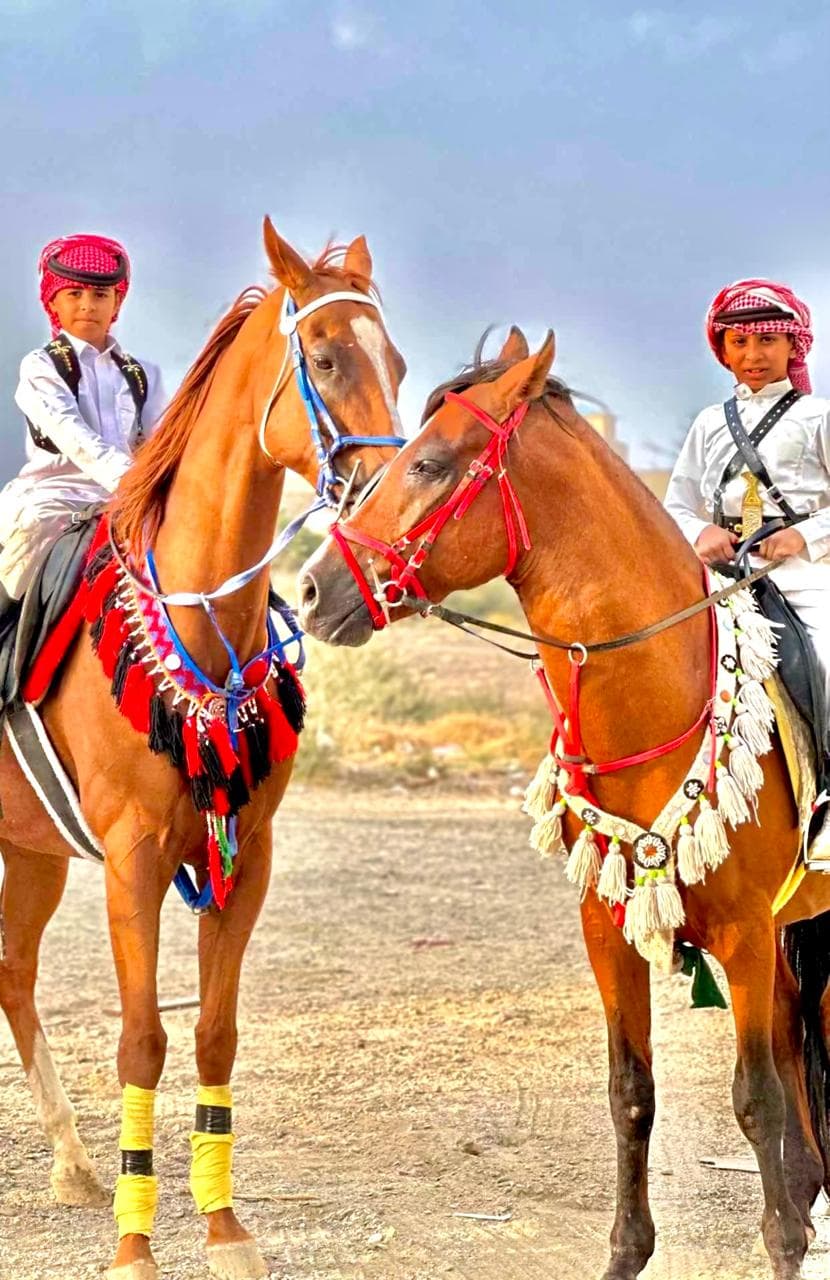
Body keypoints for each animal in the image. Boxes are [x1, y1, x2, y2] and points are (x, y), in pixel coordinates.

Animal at [0, 218, 406, 1280]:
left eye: (393, 360)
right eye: (324, 358)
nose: (384, 502)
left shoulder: (242, 856)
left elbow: (216, 1034)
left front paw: (224, 1230)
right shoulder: (133, 860)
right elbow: (143, 1039)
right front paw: (136, 1244)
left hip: (31, 852)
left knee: (13, 973)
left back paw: (71, 1164)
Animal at [296, 328, 830, 1280]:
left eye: (428, 463)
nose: (317, 590)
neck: (656, 694)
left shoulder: (743, 937)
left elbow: (756, 1099)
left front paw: (781, 1247)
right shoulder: (609, 932)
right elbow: (632, 1093)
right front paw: (631, 1251)